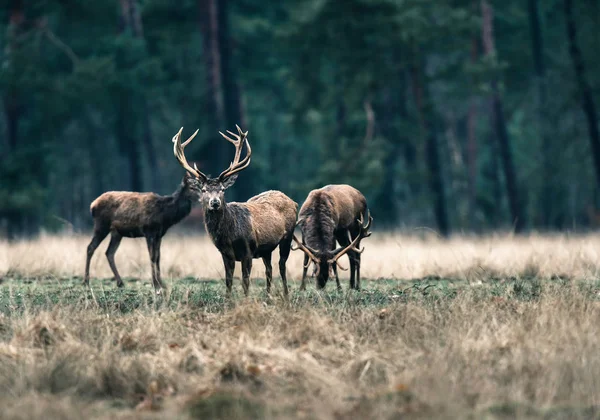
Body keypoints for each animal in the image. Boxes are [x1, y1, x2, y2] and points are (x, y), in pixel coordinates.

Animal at [82, 126, 204, 294]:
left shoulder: (160, 234)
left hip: (116, 232)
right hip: (101, 225)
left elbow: (158, 257)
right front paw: (156, 285)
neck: (165, 216)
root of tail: (92, 205)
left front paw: (161, 284)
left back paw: (120, 282)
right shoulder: (148, 230)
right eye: (192, 187)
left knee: (109, 252)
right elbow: (152, 257)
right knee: (90, 247)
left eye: (202, 186)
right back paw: (86, 282)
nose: (206, 198)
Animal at [171, 126, 298, 296]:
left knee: (282, 266)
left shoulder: (248, 251)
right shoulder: (225, 254)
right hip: (266, 248)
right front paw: (228, 299)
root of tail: (293, 201)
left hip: (287, 237)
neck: (229, 236)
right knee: (269, 269)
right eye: (203, 190)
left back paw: (285, 294)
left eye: (222, 189)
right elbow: (228, 281)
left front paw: (245, 299)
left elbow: (245, 282)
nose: (215, 202)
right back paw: (268, 295)